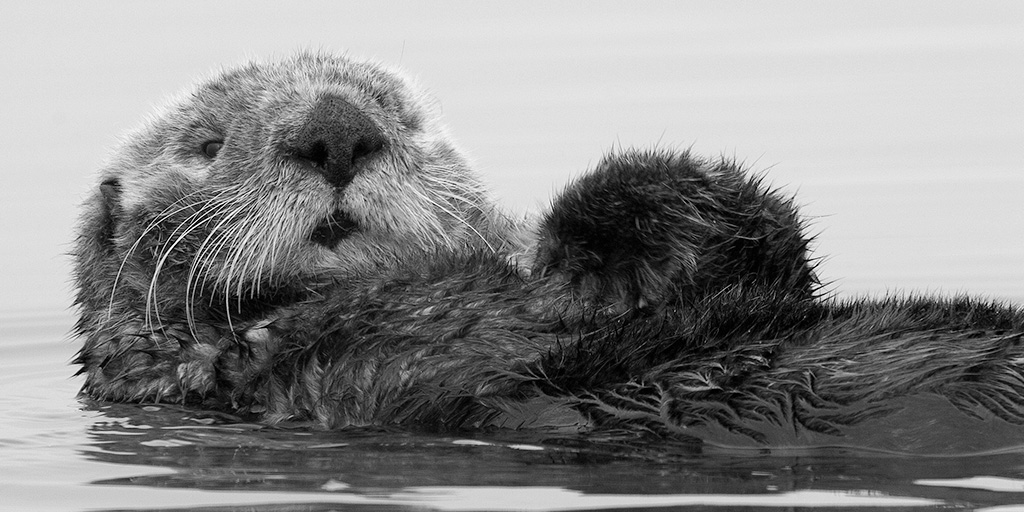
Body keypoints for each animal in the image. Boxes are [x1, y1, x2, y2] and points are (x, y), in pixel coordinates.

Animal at [74, 52, 1024, 450]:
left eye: (404, 118)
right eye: (204, 144)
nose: (336, 131)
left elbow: (759, 251)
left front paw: (573, 247)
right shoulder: (322, 377)